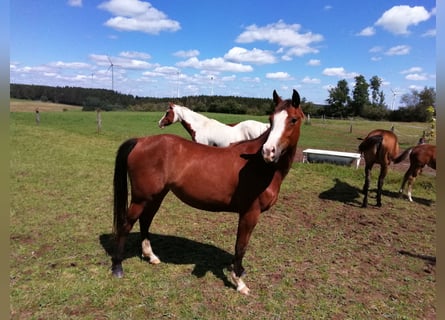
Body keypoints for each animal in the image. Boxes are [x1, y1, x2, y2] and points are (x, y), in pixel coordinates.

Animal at [112, 89, 304, 294]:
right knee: (126, 224)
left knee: (145, 221)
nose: (269, 151)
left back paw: (151, 256)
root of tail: (141, 141)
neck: (259, 165)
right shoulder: (250, 213)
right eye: (271, 119)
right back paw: (117, 267)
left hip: (156, 196)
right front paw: (239, 282)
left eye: (293, 119)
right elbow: (241, 246)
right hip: (141, 198)